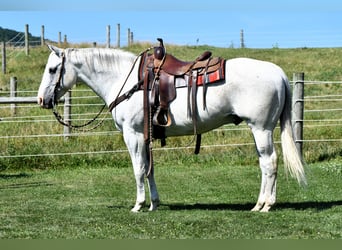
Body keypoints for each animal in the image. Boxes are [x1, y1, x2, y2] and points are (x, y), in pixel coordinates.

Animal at [38, 45, 306, 213]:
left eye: (52, 69)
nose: (42, 99)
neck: (125, 79)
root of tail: (277, 73)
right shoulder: (145, 136)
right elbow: (149, 170)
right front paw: (154, 203)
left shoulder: (133, 135)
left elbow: (138, 169)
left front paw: (138, 205)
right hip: (260, 130)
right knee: (266, 163)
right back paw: (261, 203)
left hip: (261, 129)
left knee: (269, 163)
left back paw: (265, 205)